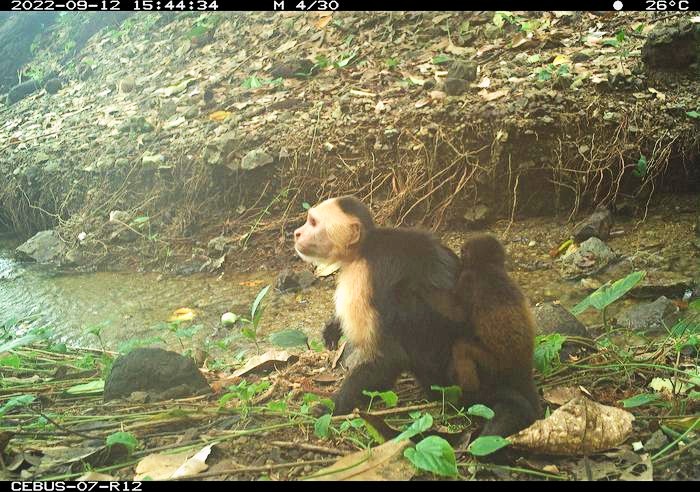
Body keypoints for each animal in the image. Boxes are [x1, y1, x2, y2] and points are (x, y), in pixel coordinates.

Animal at [449, 234, 541, 437]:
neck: (488, 267)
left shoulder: (468, 279)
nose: (460, 252)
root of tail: (523, 369)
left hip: (493, 366)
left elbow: (458, 317)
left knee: (461, 350)